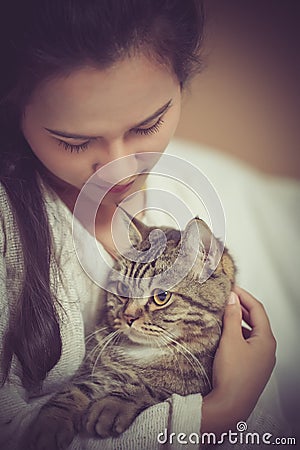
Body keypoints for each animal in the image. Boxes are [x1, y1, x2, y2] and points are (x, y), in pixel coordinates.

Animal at [26, 214, 237, 450]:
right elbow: (73, 391)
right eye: (123, 289)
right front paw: (51, 422)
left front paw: (113, 404)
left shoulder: (197, 382)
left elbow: (155, 388)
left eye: (161, 296)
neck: (142, 352)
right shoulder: (92, 367)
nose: (128, 317)